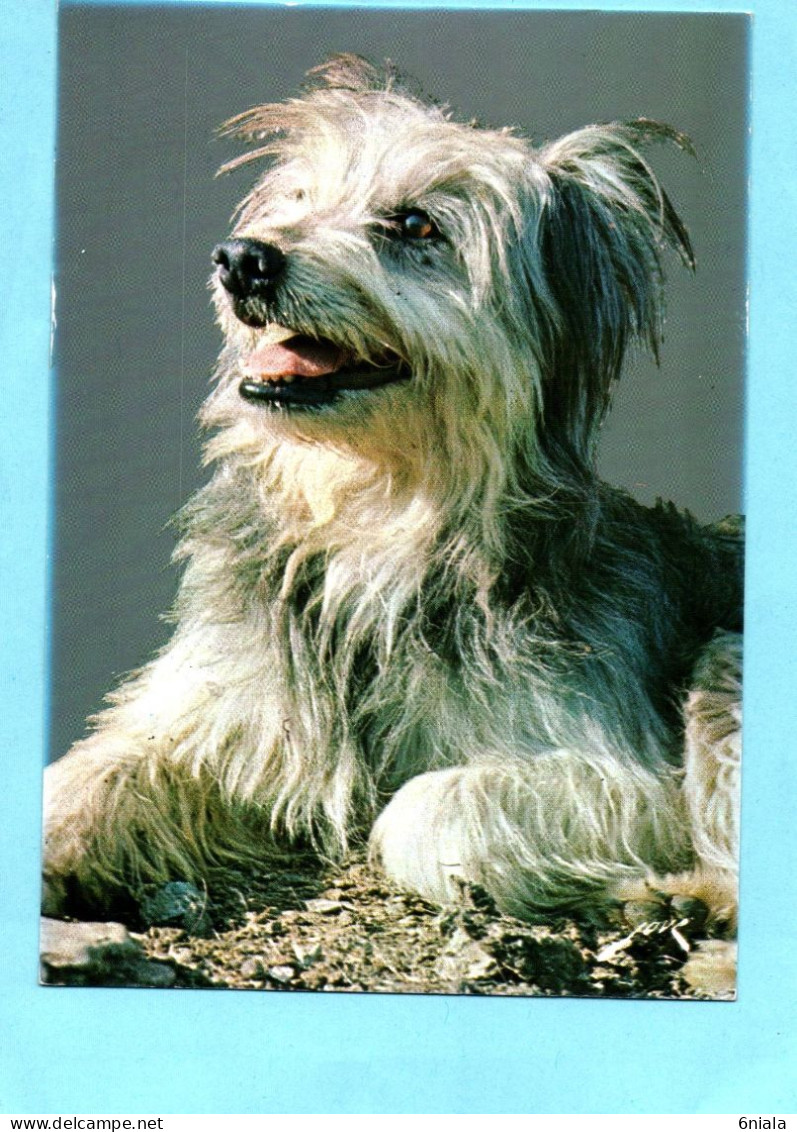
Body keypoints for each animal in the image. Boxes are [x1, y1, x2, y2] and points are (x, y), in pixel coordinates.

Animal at [43, 55, 742, 982]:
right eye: (297, 199)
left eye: (414, 223)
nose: (242, 259)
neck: (377, 519)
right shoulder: (224, 711)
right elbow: (104, 768)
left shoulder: (627, 775)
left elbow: (424, 810)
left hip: (725, 657)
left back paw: (681, 899)